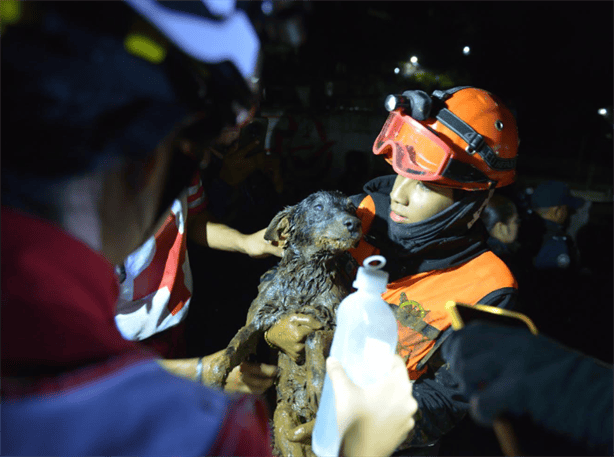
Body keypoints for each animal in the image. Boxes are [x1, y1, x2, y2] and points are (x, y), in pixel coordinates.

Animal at [208, 190, 360, 456]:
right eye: (318, 207)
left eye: (351, 208)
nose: (354, 224)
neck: (305, 278)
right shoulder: (259, 320)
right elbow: (231, 349)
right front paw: (215, 380)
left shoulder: (333, 319)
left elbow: (313, 337)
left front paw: (316, 385)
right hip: (283, 419)